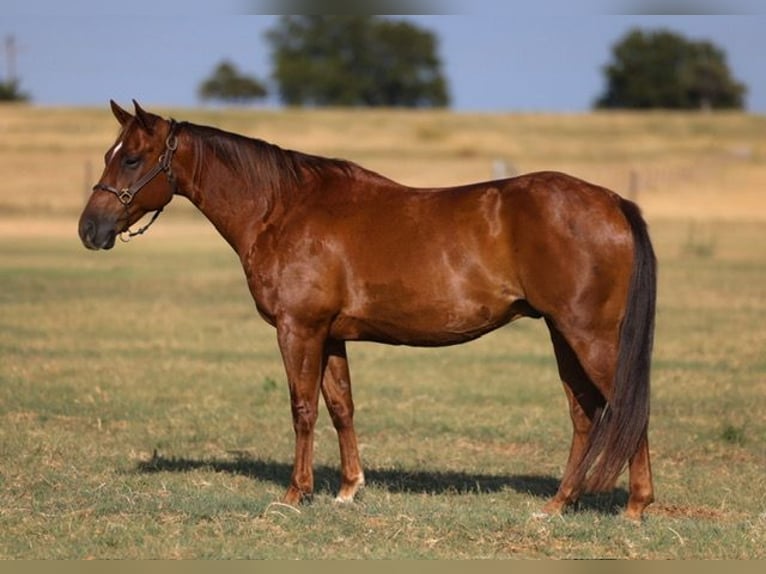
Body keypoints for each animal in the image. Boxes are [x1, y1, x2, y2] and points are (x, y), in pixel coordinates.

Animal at [78, 101, 657, 520]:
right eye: (109, 153)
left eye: (131, 158)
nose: (89, 229)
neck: (283, 209)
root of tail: (612, 201)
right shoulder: (331, 335)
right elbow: (341, 407)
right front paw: (348, 489)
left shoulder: (298, 330)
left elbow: (302, 409)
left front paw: (295, 494)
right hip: (563, 334)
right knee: (584, 415)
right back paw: (559, 504)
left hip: (589, 336)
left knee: (627, 408)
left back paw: (634, 506)